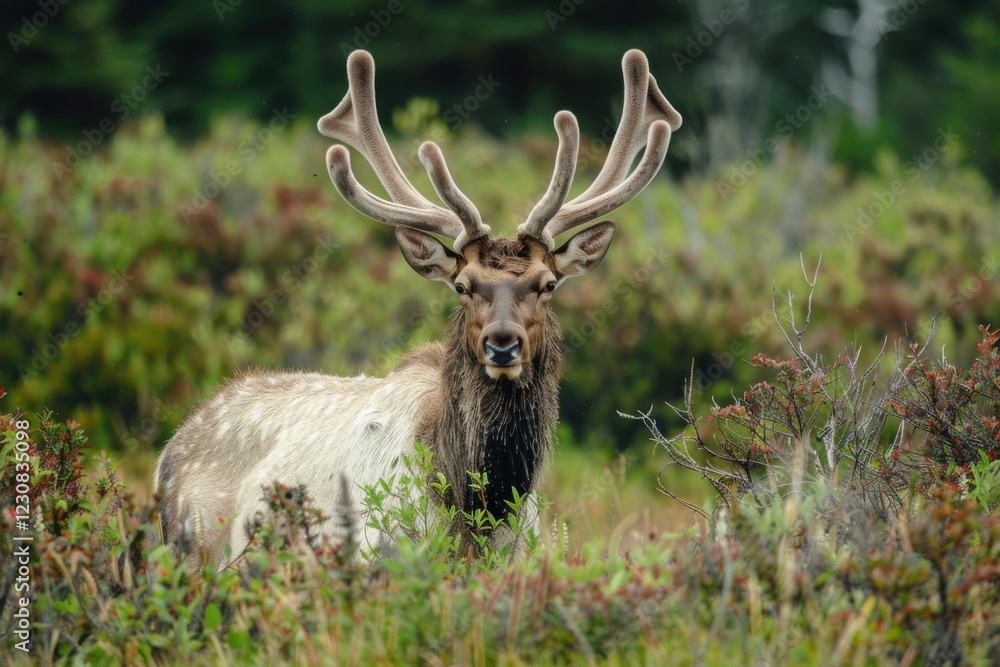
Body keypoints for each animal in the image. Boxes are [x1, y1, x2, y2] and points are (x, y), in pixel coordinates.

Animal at [154, 48, 681, 571]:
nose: (502, 344)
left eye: (547, 284)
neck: (475, 512)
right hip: (193, 551)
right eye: (463, 286)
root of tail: (171, 448)